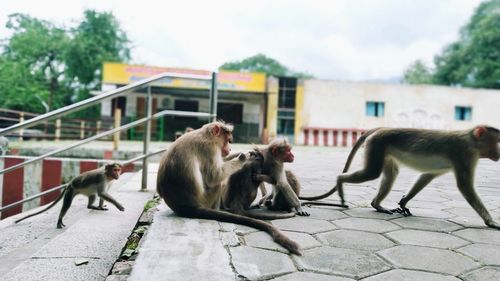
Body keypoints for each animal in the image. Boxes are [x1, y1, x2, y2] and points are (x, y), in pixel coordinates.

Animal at [158, 120, 302, 254]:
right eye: (228, 140)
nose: (229, 149)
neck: (205, 134)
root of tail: (185, 206)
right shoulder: (210, 148)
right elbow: (214, 177)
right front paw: (243, 157)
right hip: (207, 198)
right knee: (218, 183)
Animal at [300, 126, 500, 229]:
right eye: (496, 141)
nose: (499, 152)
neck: (471, 141)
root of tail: (382, 127)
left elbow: (427, 176)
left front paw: (404, 202)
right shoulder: (464, 154)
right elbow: (465, 186)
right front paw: (491, 221)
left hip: (383, 149)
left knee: (390, 173)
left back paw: (377, 205)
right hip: (377, 144)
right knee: (372, 172)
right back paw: (340, 182)